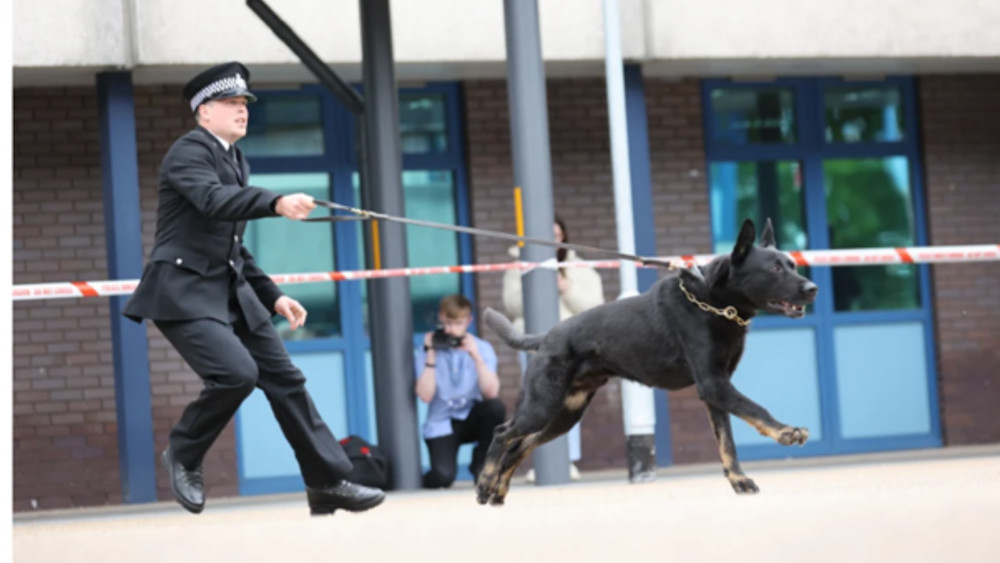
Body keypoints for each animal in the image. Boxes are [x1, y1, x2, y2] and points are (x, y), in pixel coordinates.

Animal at [480, 218, 816, 504]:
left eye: (792, 264)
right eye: (775, 268)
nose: (812, 289)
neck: (713, 302)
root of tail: (546, 337)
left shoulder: (717, 393)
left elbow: (727, 443)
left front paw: (739, 481)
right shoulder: (714, 384)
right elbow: (755, 409)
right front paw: (785, 431)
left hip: (564, 415)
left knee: (518, 446)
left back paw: (498, 491)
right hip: (542, 407)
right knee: (502, 434)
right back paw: (485, 483)